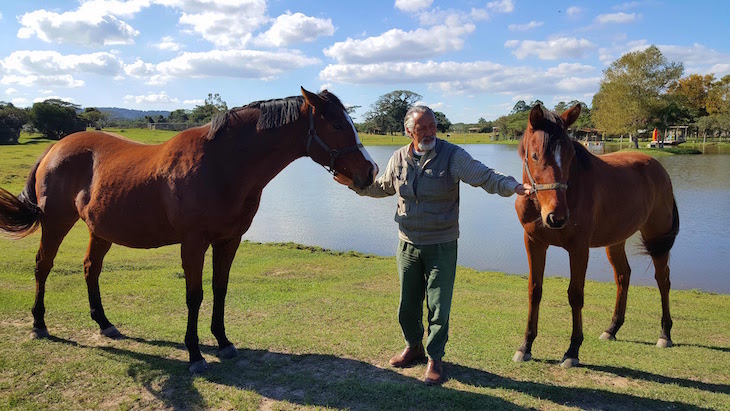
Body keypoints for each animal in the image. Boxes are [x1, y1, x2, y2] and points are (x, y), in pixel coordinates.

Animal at [0, 87, 376, 374]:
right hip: (56, 223)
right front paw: (195, 354)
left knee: (91, 268)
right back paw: (39, 324)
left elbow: (220, 290)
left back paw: (104, 324)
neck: (221, 166)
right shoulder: (193, 243)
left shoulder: (229, 241)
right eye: (338, 124)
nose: (370, 171)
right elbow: (194, 295)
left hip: (100, 230)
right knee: (43, 267)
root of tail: (55, 147)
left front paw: (223, 342)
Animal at [512, 104, 676, 368]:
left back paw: (665, 334)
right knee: (623, 276)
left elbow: (575, 294)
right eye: (535, 155)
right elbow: (534, 291)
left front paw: (572, 350)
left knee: (663, 280)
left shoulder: (579, 248)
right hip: (616, 241)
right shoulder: (534, 243)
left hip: (656, 237)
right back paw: (612, 328)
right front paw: (525, 346)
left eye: (570, 156)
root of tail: (657, 166)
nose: (557, 217)